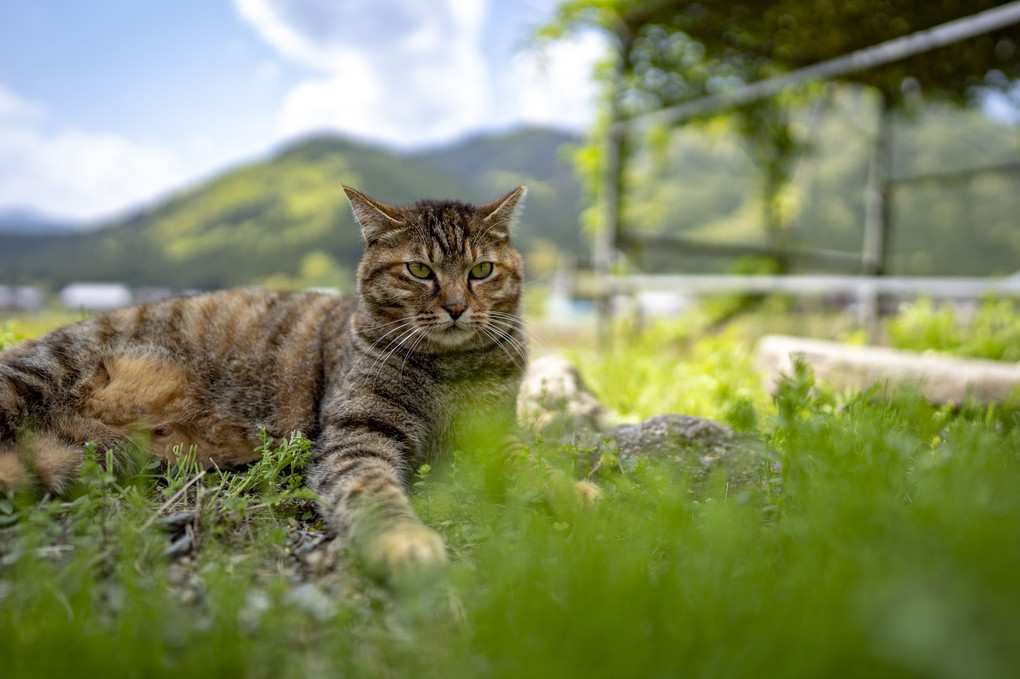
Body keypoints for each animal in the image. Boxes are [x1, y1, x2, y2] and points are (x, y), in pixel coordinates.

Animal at [0, 185, 526, 570]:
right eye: (419, 269)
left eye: (481, 270)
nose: (456, 307)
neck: (452, 369)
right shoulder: (357, 435)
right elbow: (371, 490)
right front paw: (404, 540)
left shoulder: (498, 434)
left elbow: (532, 465)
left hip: (75, 454)